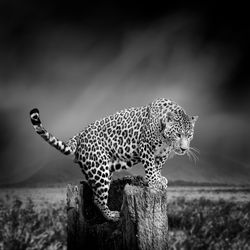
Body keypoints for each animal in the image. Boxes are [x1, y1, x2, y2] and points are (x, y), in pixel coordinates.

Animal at [29, 98, 198, 222]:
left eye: (189, 135)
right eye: (178, 134)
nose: (184, 149)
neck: (166, 139)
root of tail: (79, 135)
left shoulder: (162, 154)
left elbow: (157, 167)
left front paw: (159, 179)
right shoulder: (146, 148)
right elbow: (150, 167)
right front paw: (154, 182)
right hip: (99, 169)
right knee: (97, 198)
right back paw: (112, 216)